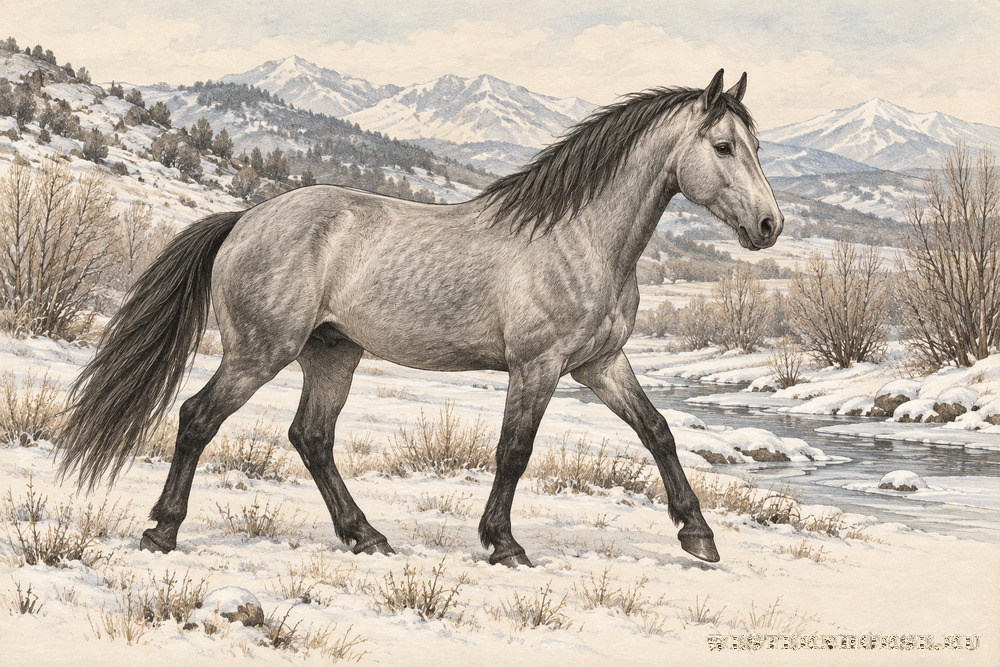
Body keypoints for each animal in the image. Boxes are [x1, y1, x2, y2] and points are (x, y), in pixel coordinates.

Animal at [58, 69, 782, 567]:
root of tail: (245, 218)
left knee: (311, 437)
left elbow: (658, 431)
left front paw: (698, 535)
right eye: (723, 146)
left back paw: (366, 536)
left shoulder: (600, 363)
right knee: (198, 418)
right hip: (259, 352)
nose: (770, 226)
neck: (579, 237)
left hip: (332, 352)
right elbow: (514, 452)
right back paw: (162, 530)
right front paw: (504, 544)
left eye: (755, 145)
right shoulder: (538, 366)